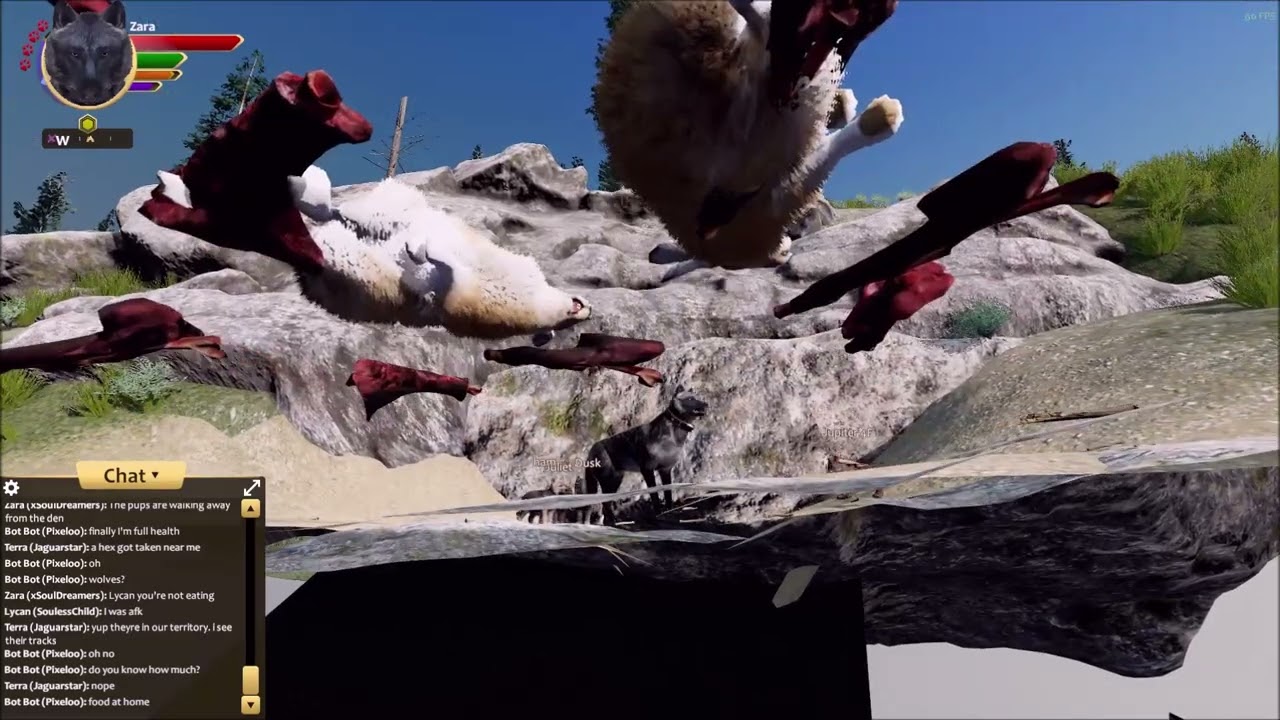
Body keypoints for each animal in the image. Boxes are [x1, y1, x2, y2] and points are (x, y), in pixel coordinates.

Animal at [578, 386, 709, 525]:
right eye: (690, 399)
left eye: (699, 398)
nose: (706, 404)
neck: (673, 438)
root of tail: (591, 450)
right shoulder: (647, 469)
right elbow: (655, 496)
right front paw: (658, 515)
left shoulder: (665, 470)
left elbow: (668, 496)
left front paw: (668, 513)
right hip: (608, 480)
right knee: (605, 503)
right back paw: (612, 522)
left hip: (615, 480)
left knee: (604, 504)